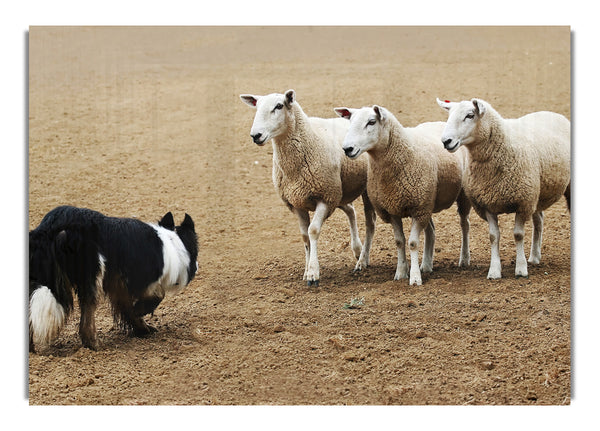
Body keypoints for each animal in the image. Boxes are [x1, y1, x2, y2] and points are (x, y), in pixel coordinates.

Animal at [29, 208, 198, 352]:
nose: (197, 266)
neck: (171, 243)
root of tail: (51, 227)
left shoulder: (118, 284)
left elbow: (128, 308)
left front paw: (142, 328)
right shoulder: (139, 280)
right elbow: (157, 295)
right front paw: (141, 313)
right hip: (93, 276)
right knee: (87, 316)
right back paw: (94, 344)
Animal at [240, 90, 376, 286]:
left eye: (279, 106)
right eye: (257, 107)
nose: (255, 135)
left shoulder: (325, 198)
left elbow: (313, 231)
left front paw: (313, 273)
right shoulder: (297, 202)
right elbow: (305, 236)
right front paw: (306, 270)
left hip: (355, 190)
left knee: (370, 222)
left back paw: (362, 260)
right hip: (339, 192)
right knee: (351, 211)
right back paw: (357, 250)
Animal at [336, 105, 472, 286]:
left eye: (371, 122)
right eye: (350, 121)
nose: (347, 149)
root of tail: (440, 123)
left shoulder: (418, 209)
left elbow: (413, 243)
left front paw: (414, 277)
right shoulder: (393, 208)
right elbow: (399, 242)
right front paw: (401, 272)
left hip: (458, 196)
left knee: (464, 225)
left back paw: (464, 259)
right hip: (427, 201)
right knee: (431, 231)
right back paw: (426, 265)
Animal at [438, 98, 568, 280]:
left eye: (470, 115)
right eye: (449, 115)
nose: (446, 141)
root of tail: (552, 113)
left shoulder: (522, 202)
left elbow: (518, 235)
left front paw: (521, 269)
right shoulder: (488, 204)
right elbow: (494, 237)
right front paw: (494, 270)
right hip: (536, 194)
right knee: (539, 220)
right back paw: (534, 256)